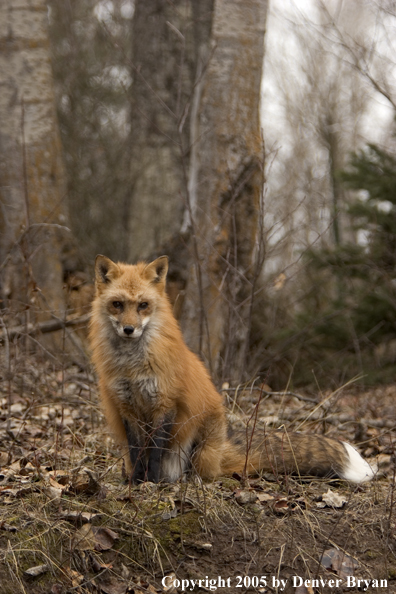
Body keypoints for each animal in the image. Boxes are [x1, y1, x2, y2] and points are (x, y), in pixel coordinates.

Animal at [89, 254, 374, 480]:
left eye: (143, 305)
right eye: (117, 304)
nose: (129, 329)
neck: (133, 366)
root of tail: (223, 446)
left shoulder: (165, 403)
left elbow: (156, 452)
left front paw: (152, 482)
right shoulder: (126, 407)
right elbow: (137, 452)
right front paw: (136, 482)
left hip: (201, 444)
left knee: (202, 473)